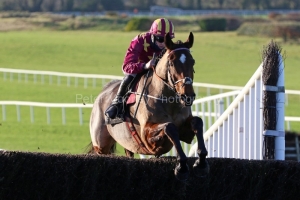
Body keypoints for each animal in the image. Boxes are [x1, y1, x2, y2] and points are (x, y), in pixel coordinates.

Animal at [89, 32, 209, 180]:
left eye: (192, 62)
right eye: (172, 63)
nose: (188, 96)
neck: (168, 101)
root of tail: (102, 93)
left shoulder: (185, 132)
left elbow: (197, 122)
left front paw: (201, 163)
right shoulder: (147, 136)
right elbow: (169, 127)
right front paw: (181, 166)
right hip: (101, 145)